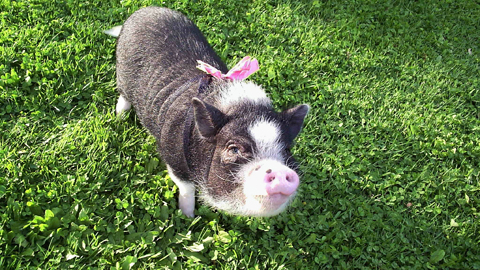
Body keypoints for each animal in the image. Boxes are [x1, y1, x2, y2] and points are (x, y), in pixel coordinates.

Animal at [106, 6, 310, 217]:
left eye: (286, 149)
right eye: (234, 148)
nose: (279, 170)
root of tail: (142, 12)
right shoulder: (172, 156)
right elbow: (186, 188)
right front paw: (188, 216)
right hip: (122, 74)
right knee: (123, 95)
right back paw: (120, 116)